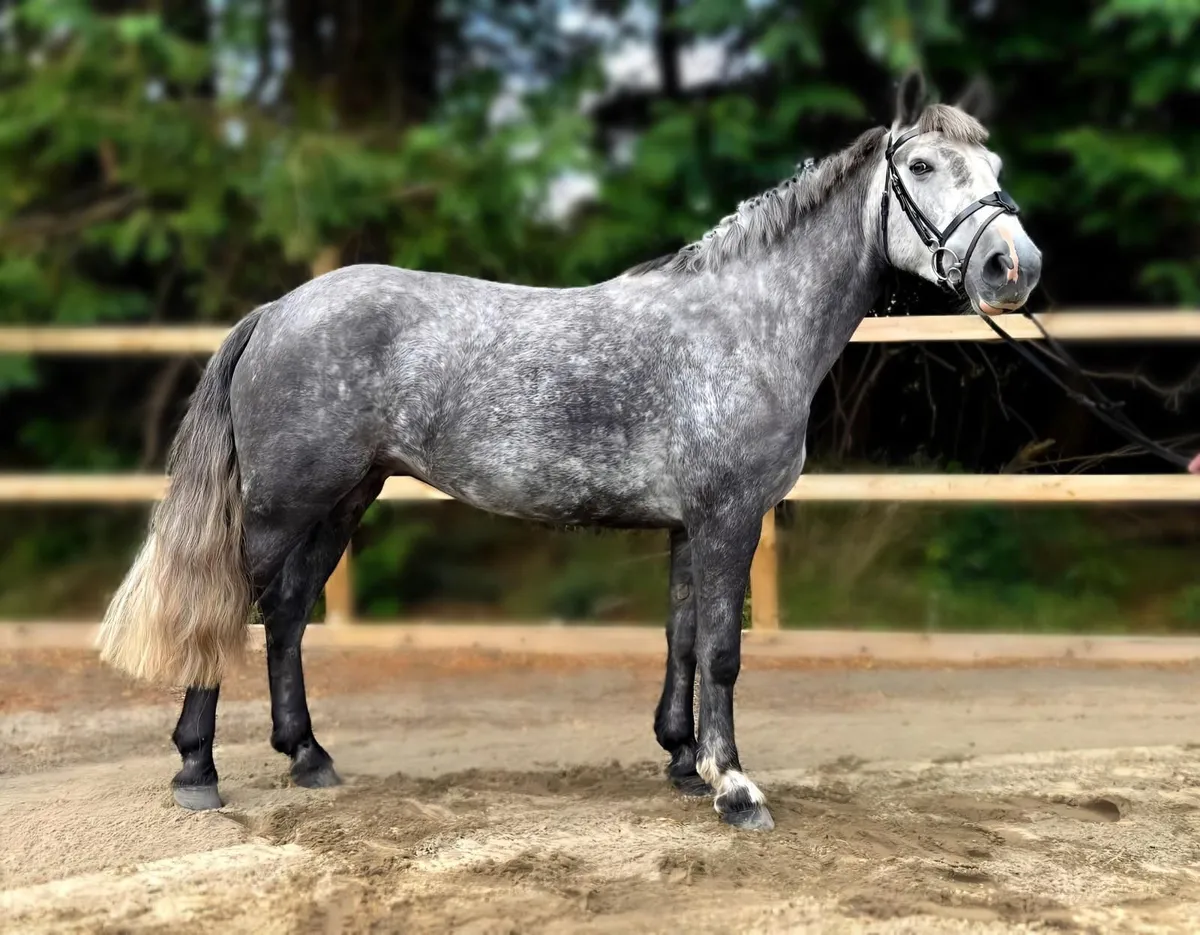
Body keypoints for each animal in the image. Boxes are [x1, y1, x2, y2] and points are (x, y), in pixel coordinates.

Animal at [97, 72, 1041, 832]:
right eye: (923, 169)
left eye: (994, 168)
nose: (1014, 266)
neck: (743, 322)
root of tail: (279, 310)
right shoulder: (730, 517)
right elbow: (723, 651)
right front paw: (735, 786)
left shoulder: (690, 526)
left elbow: (682, 636)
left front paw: (682, 760)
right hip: (283, 504)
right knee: (230, 610)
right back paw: (198, 768)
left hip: (343, 499)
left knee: (287, 613)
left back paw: (308, 756)